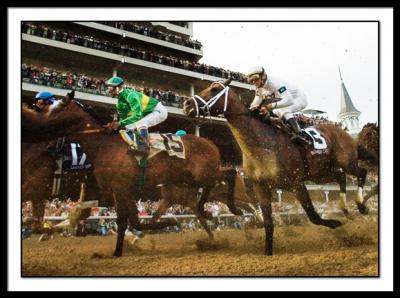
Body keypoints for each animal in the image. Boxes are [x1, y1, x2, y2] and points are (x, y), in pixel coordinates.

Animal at [183, 79, 368, 256]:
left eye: (214, 89)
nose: (187, 104)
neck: (262, 144)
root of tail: (341, 130)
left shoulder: (296, 183)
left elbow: (313, 215)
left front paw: (335, 223)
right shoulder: (261, 187)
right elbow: (268, 222)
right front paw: (268, 252)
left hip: (346, 163)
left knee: (361, 173)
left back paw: (360, 205)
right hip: (320, 173)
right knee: (341, 177)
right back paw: (346, 209)